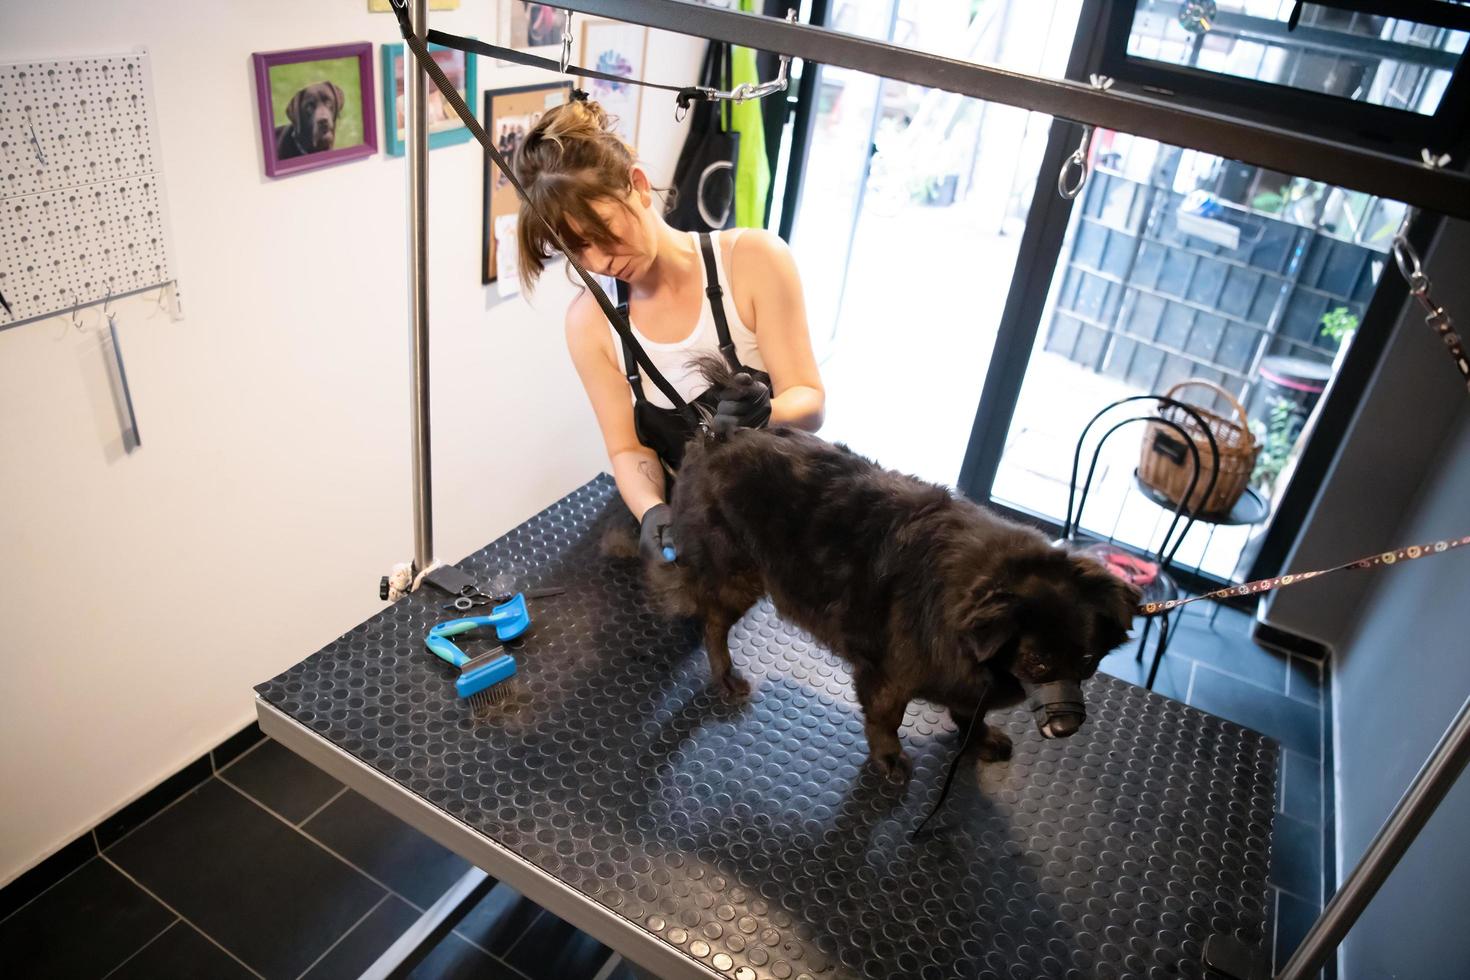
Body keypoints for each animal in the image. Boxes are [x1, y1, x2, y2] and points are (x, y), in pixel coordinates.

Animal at [649, 359, 1140, 781]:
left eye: (1088, 662)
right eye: (1037, 662)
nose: (1066, 727)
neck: (967, 595)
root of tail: (721, 434)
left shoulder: (968, 682)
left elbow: (970, 713)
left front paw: (978, 739)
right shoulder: (888, 675)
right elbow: (888, 719)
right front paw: (889, 758)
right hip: (736, 578)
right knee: (713, 624)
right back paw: (725, 675)